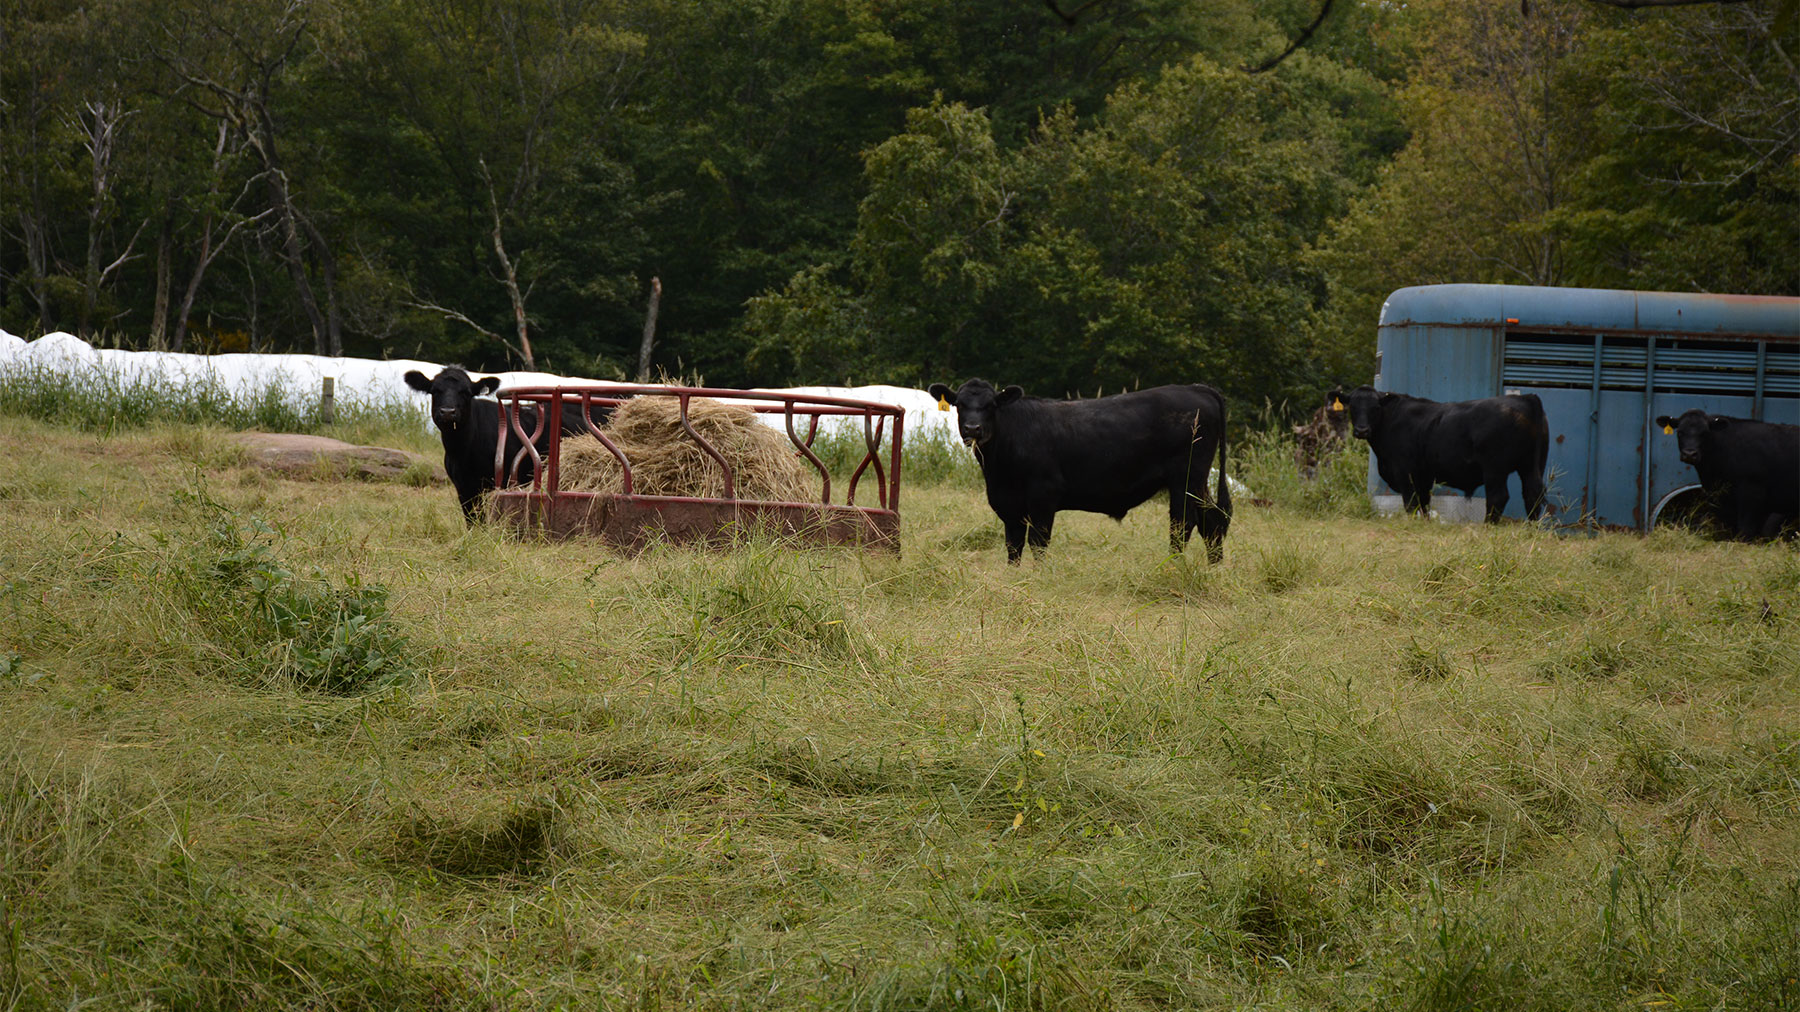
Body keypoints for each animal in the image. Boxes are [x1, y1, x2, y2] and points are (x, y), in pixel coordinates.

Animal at [404, 366, 604, 524]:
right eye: (435, 390)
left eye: (466, 392)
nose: (447, 412)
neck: (463, 451)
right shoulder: (463, 487)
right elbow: (473, 520)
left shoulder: (504, 481)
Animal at [926, 378, 1232, 564]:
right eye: (960, 404)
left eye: (991, 405)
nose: (973, 429)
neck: (999, 471)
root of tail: (1197, 388)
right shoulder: (1008, 504)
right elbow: (1014, 545)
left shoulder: (1043, 496)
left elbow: (1038, 542)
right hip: (1198, 482)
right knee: (1212, 521)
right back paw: (1211, 569)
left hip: (1185, 479)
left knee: (1182, 524)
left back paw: (1173, 567)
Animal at [1328, 385, 1550, 522]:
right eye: (1352, 407)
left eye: (1375, 407)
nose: (1362, 430)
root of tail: (1527, 398)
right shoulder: (1423, 476)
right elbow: (1424, 503)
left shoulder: (1404, 472)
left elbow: (1411, 503)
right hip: (1531, 466)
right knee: (1533, 494)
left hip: (1495, 469)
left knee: (1498, 497)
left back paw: (1488, 526)